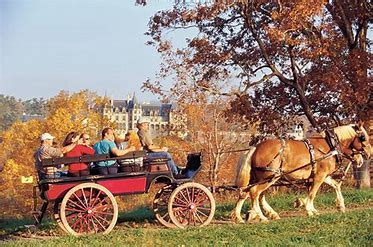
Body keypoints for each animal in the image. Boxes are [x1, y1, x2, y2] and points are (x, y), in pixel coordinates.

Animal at [231, 122, 370, 223]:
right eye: (363, 138)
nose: (366, 156)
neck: (330, 146)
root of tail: (256, 148)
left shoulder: (322, 175)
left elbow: (335, 185)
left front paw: (340, 206)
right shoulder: (319, 176)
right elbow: (312, 193)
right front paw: (309, 209)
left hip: (262, 178)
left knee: (248, 193)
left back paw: (241, 216)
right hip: (270, 177)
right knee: (255, 192)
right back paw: (261, 216)